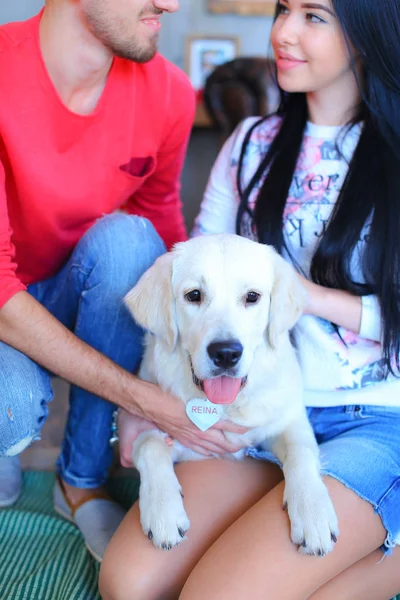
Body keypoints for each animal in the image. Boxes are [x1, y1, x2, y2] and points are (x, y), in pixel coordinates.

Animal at [124, 234, 338, 556]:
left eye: (252, 297)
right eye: (194, 295)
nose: (226, 353)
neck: (226, 406)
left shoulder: (287, 420)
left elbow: (301, 452)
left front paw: (313, 513)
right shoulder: (157, 428)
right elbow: (151, 447)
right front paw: (163, 512)